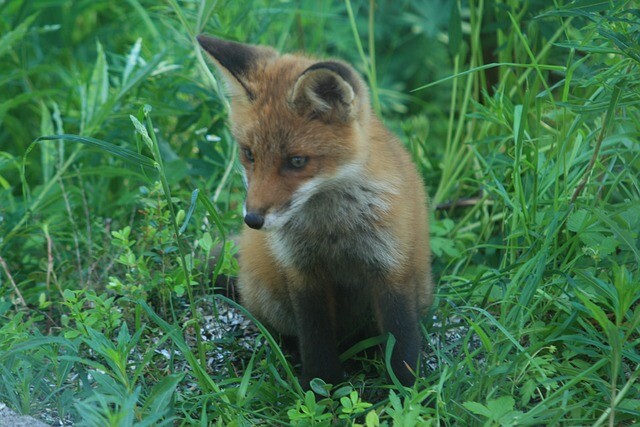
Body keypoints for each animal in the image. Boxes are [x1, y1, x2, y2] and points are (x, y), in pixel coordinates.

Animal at [198, 33, 432, 388]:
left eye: (297, 161)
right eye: (249, 154)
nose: (252, 220)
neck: (333, 229)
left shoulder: (392, 266)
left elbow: (402, 341)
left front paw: (409, 391)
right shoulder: (303, 273)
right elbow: (315, 338)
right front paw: (322, 388)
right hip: (269, 295)